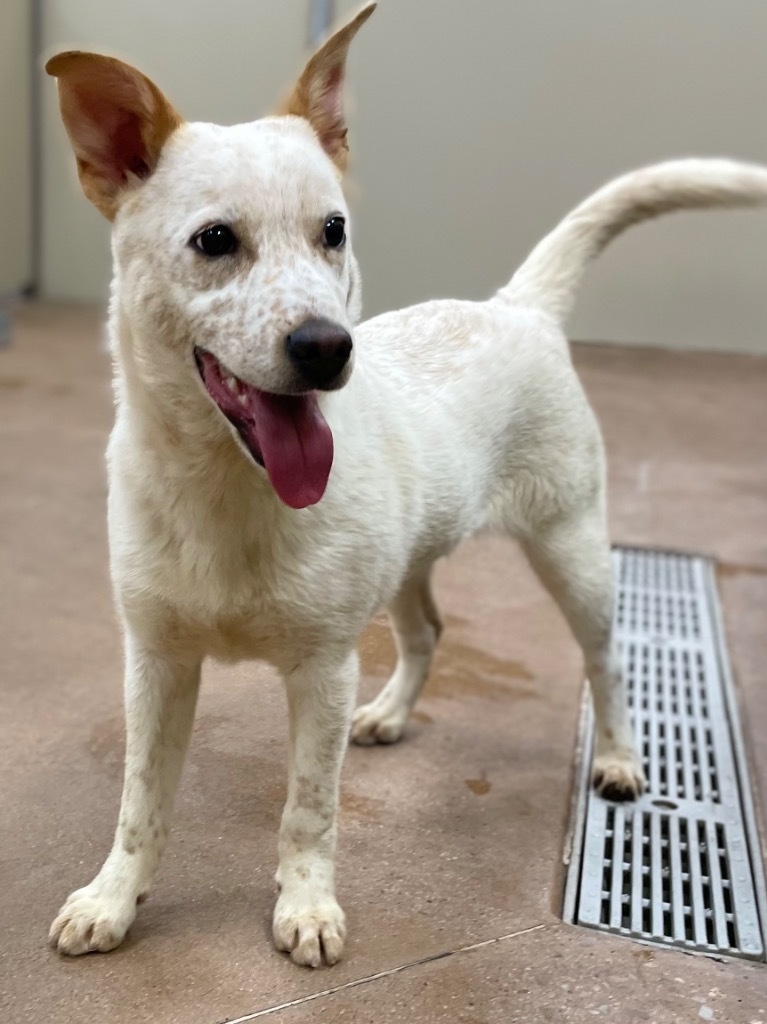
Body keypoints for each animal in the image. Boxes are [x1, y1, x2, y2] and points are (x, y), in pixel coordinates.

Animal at [46, 2, 765, 966]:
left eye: (333, 231)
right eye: (214, 240)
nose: (327, 348)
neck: (228, 487)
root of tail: (516, 306)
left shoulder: (321, 669)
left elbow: (308, 808)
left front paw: (306, 905)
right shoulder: (155, 662)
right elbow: (139, 805)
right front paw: (112, 900)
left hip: (572, 549)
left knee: (604, 659)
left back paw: (618, 757)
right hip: (408, 561)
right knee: (427, 630)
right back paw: (388, 713)